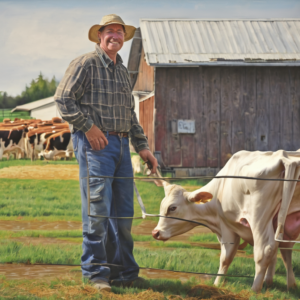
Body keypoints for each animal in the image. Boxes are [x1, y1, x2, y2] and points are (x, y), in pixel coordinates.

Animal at [152, 151, 300, 292]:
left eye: (172, 208)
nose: (155, 232)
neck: (220, 189)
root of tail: (284, 157)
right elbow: (277, 255)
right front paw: (269, 282)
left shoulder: (227, 227)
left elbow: (225, 258)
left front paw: (217, 284)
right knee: (285, 250)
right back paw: (291, 285)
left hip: (259, 217)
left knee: (265, 249)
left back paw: (254, 289)